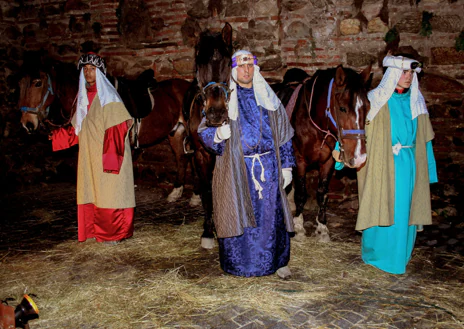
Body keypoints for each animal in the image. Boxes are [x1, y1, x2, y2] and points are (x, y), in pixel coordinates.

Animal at [278, 64, 372, 241]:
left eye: (367, 107)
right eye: (342, 108)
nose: (359, 157)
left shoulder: (328, 162)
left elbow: (322, 193)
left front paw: (322, 228)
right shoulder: (299, 161)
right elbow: (301, 193)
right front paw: (299, 228)